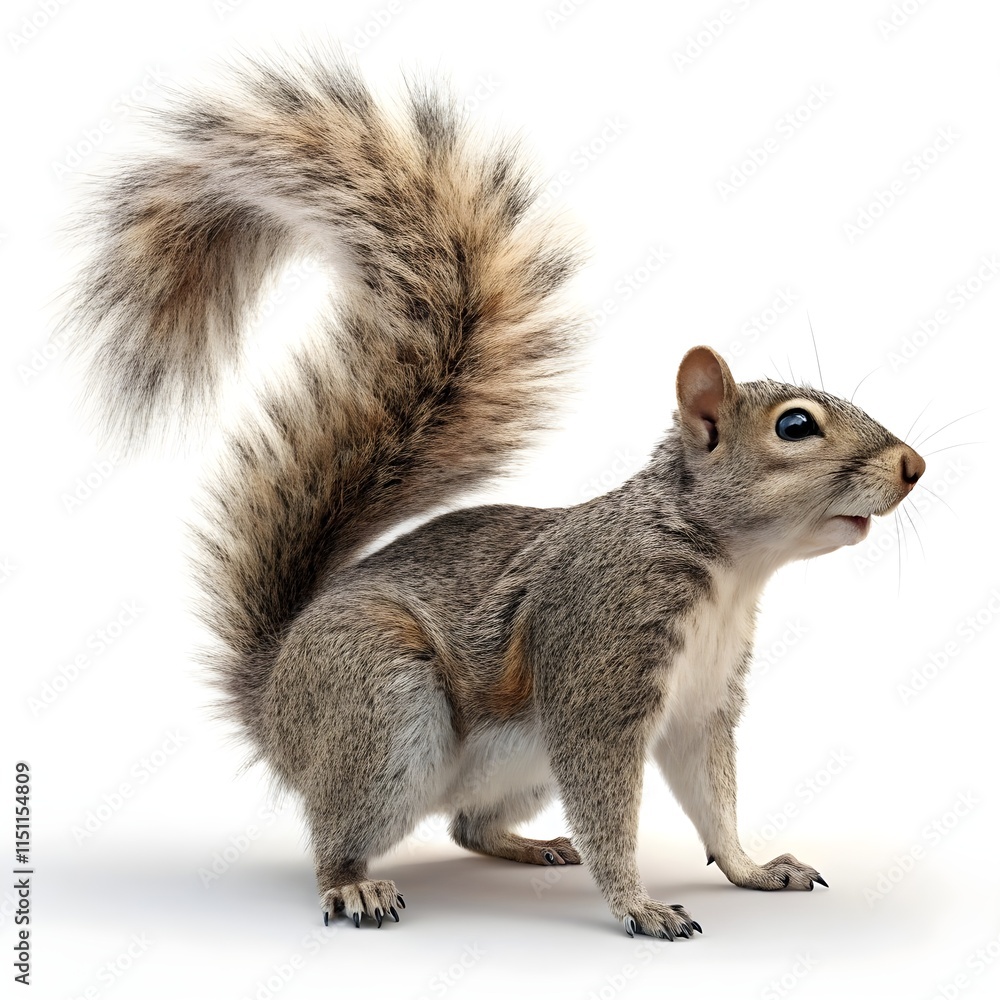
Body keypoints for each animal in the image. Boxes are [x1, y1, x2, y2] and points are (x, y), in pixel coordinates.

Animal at [65, 54, 926, 939]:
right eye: (796, 426)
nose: (914, 465)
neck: (724, 568)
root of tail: (274, 704)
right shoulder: (598, 661)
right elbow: (611, 804)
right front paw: (640, 906)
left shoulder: (702, 702)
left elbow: (712, 798)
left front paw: (754, 870)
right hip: (382, 699)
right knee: (340, 832)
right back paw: (355, 885)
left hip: (511, 763)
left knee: (466, 825)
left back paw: (531, 846)